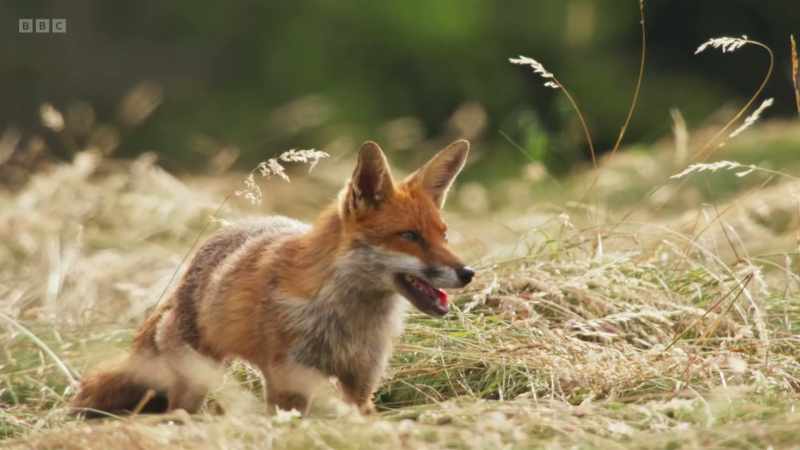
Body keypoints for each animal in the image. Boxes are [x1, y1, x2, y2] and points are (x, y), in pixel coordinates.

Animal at [71, 139, 475, 417]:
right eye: (410, 236)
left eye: (444, 234)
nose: (467, 273)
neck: (347, 318)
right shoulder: (290, 381)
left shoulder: (361, 383)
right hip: (196, 381)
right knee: (177, 410)